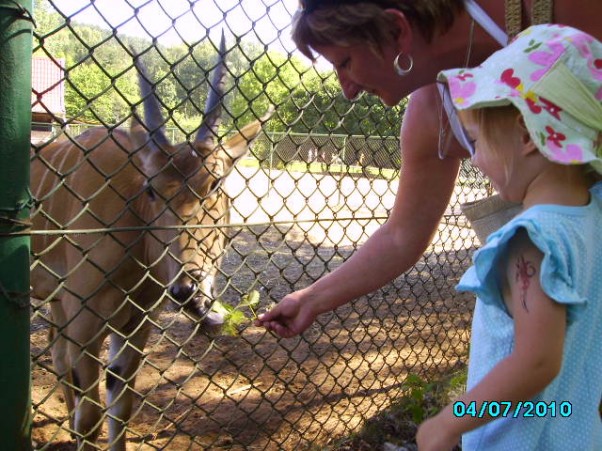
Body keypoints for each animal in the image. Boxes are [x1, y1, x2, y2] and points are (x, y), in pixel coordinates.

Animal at [30, 36, 268, 451]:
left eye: (215, 184)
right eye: (152, 189)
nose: (189, 289)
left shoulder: (135, 322)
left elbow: (121, 405)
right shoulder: (85, 322)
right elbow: (90, 417)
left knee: (57, 353)